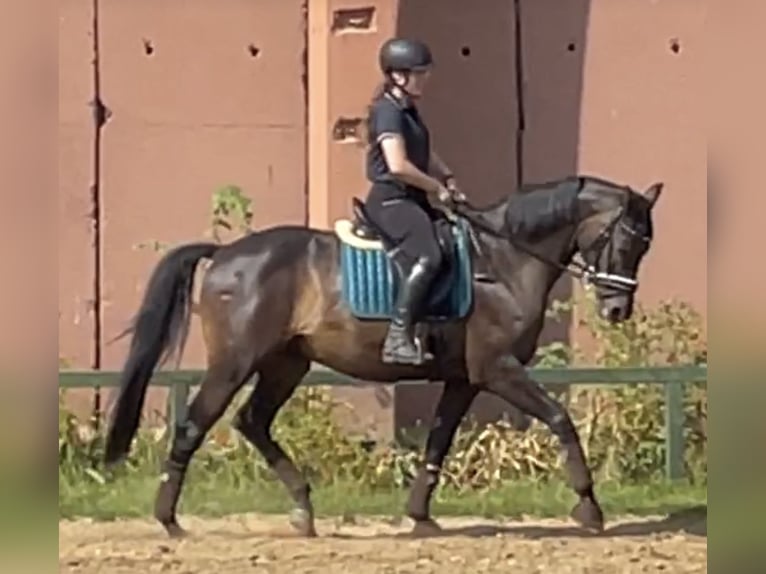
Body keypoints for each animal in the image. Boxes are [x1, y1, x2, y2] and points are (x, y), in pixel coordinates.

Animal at [103, 176, 664, 540]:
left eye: (645, 245)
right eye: (626, 239)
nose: (617, 310)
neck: (503, 261)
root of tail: (223, 255)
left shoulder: (465, 379)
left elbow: (439, 440)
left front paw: (421, 516)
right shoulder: (499, 370)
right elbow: (560, 418)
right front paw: (589, 508)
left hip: (286, 363)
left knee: (253, 421)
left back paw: (303, 510)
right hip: (235, 363)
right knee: (195, 425)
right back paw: (169, 520)